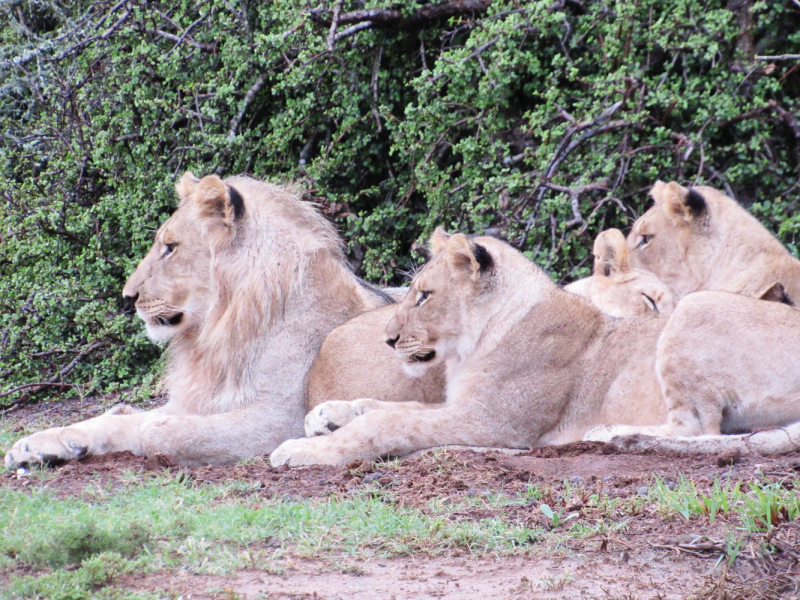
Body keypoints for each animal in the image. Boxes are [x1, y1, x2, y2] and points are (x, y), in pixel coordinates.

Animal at [3, 173, 396, 468]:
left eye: (170, 247)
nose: (127, 297)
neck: (218, 328)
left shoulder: (281, 417)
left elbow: (156, 429)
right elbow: (115, 422)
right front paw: (37, 445)